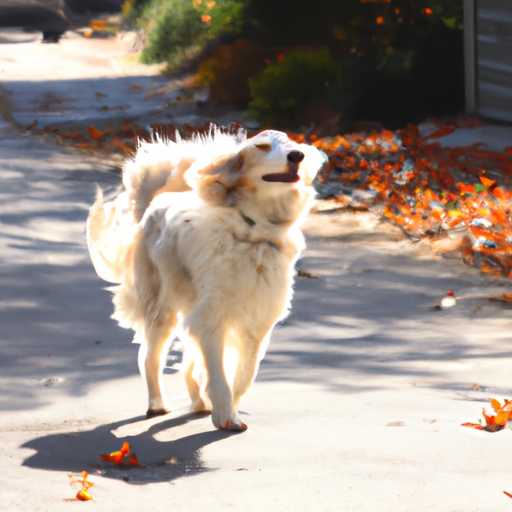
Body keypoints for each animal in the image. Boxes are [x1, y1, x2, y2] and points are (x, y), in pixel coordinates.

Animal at [84, 126, 324, 430]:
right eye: (262, 147)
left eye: (292, 143)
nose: (297, 155)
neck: (253, 231)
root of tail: (156, 202)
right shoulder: (211, 318)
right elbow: (219, 375)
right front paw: (225, 415)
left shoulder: (258, 324)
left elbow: (244, 375)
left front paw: (228, 408)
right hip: (162, 312)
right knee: (150, 358)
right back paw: (157, 404)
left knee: (188, 364)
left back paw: (199, 402)